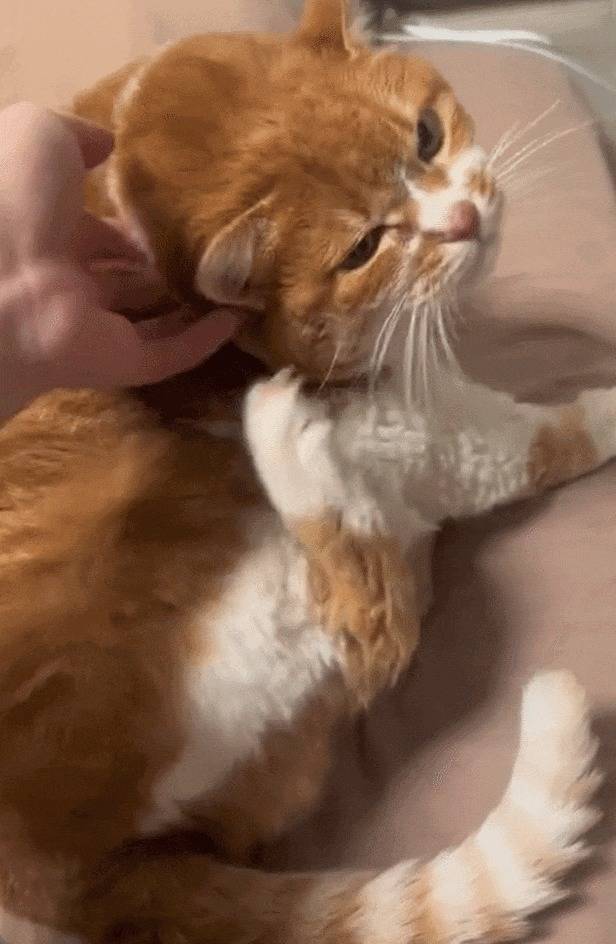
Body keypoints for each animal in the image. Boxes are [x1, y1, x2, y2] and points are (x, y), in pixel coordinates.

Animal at [0, 1, 611, 941]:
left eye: (427, 135)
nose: (463, 223)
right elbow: (534, 440)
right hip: (233, 637)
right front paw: (602, 408)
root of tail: (57, 880)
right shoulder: (418, 427)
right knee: (370, 629)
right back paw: (287, 444)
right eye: (363, 248)